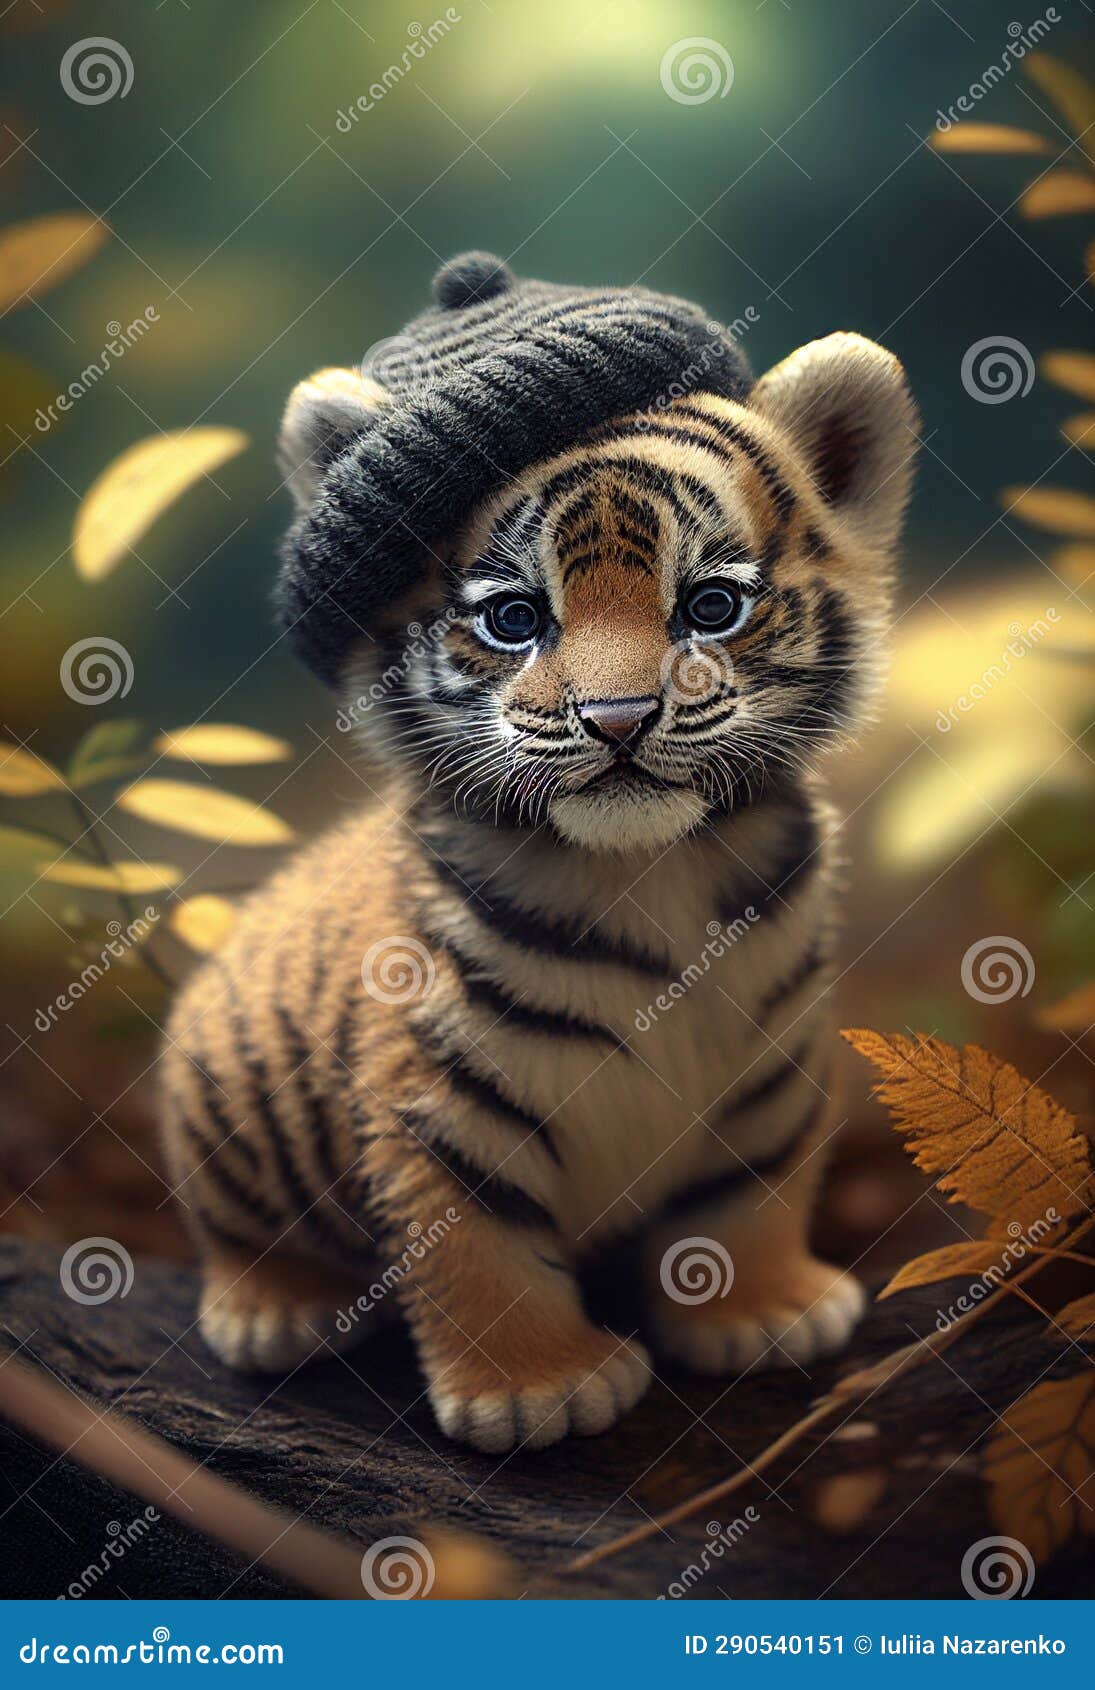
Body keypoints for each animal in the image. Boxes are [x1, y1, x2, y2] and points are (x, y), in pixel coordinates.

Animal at [160, 327, 917, 1454]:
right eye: (514, 619)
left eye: (711, 607)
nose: (619, 718)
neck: (650, 869)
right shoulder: (434, 1096)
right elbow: (480, 1248)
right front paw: (536, 1393)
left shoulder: (773, 1062)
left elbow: (751, 1194)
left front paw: (762, 1315)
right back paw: (278, 1313)